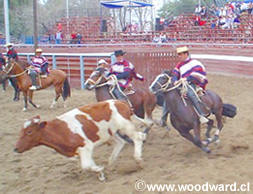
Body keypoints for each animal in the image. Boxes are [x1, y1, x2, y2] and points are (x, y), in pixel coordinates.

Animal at [14, 100, 146, 180]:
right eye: (21, 131)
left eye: (29, 132)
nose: (15, 148)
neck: (59, 130)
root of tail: (120, 102)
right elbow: (89, 164)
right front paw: (101, 174)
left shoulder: (85, 147)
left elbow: (86, 165)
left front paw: (99, 170)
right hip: (109, 133)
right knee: (120, 142)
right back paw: (111, 162)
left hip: (125, 126)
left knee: (138, 137)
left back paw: (138, 160)